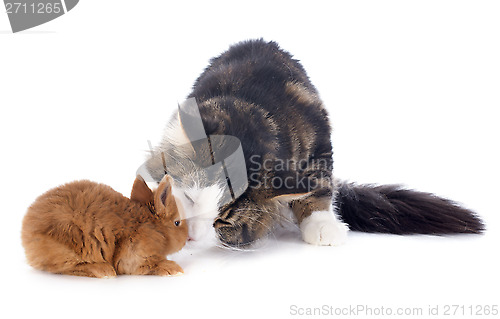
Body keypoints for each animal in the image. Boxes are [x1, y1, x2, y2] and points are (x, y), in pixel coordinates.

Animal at [21, 175, 189, 278]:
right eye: (177, 222)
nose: (187, 239)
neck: (152, 226)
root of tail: (26, 234)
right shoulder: (134, 256)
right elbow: (149, 264)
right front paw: (174, 269)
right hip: (69, 247)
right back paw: (103, 270)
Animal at [146, 40, 484, 249]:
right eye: (189, 198)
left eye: (221, 220)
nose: (189, 237)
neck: (250, 112)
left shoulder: (320, 140)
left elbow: (318, 187)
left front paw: (322, 226)